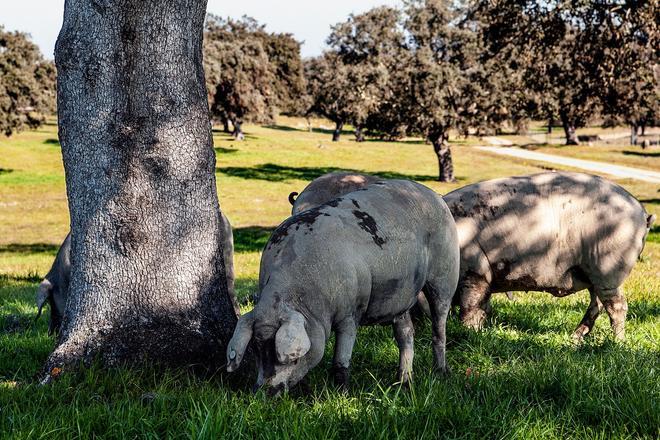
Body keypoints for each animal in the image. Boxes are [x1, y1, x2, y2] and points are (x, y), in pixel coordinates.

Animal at [226, 179, 458, 392]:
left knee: (439, 325)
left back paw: (441, 371)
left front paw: (342, 393)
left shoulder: (351, 311)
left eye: (290, 359)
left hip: (445, 274)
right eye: (256, 349)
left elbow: (340, 359)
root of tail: (434, 195)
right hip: (401, 295)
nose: (263, 392)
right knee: (407, 333)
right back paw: (403, 382)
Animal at [444, 172, 656, 340]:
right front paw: (480, 330)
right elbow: (483, 307)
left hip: (607, 269)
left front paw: (469, 332)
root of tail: (643, 213)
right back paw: (575, 338)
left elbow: (470, 307)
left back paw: (617, 342)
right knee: (597, 304)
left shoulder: (474, 271)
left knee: (617, 306)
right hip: (593, 273)